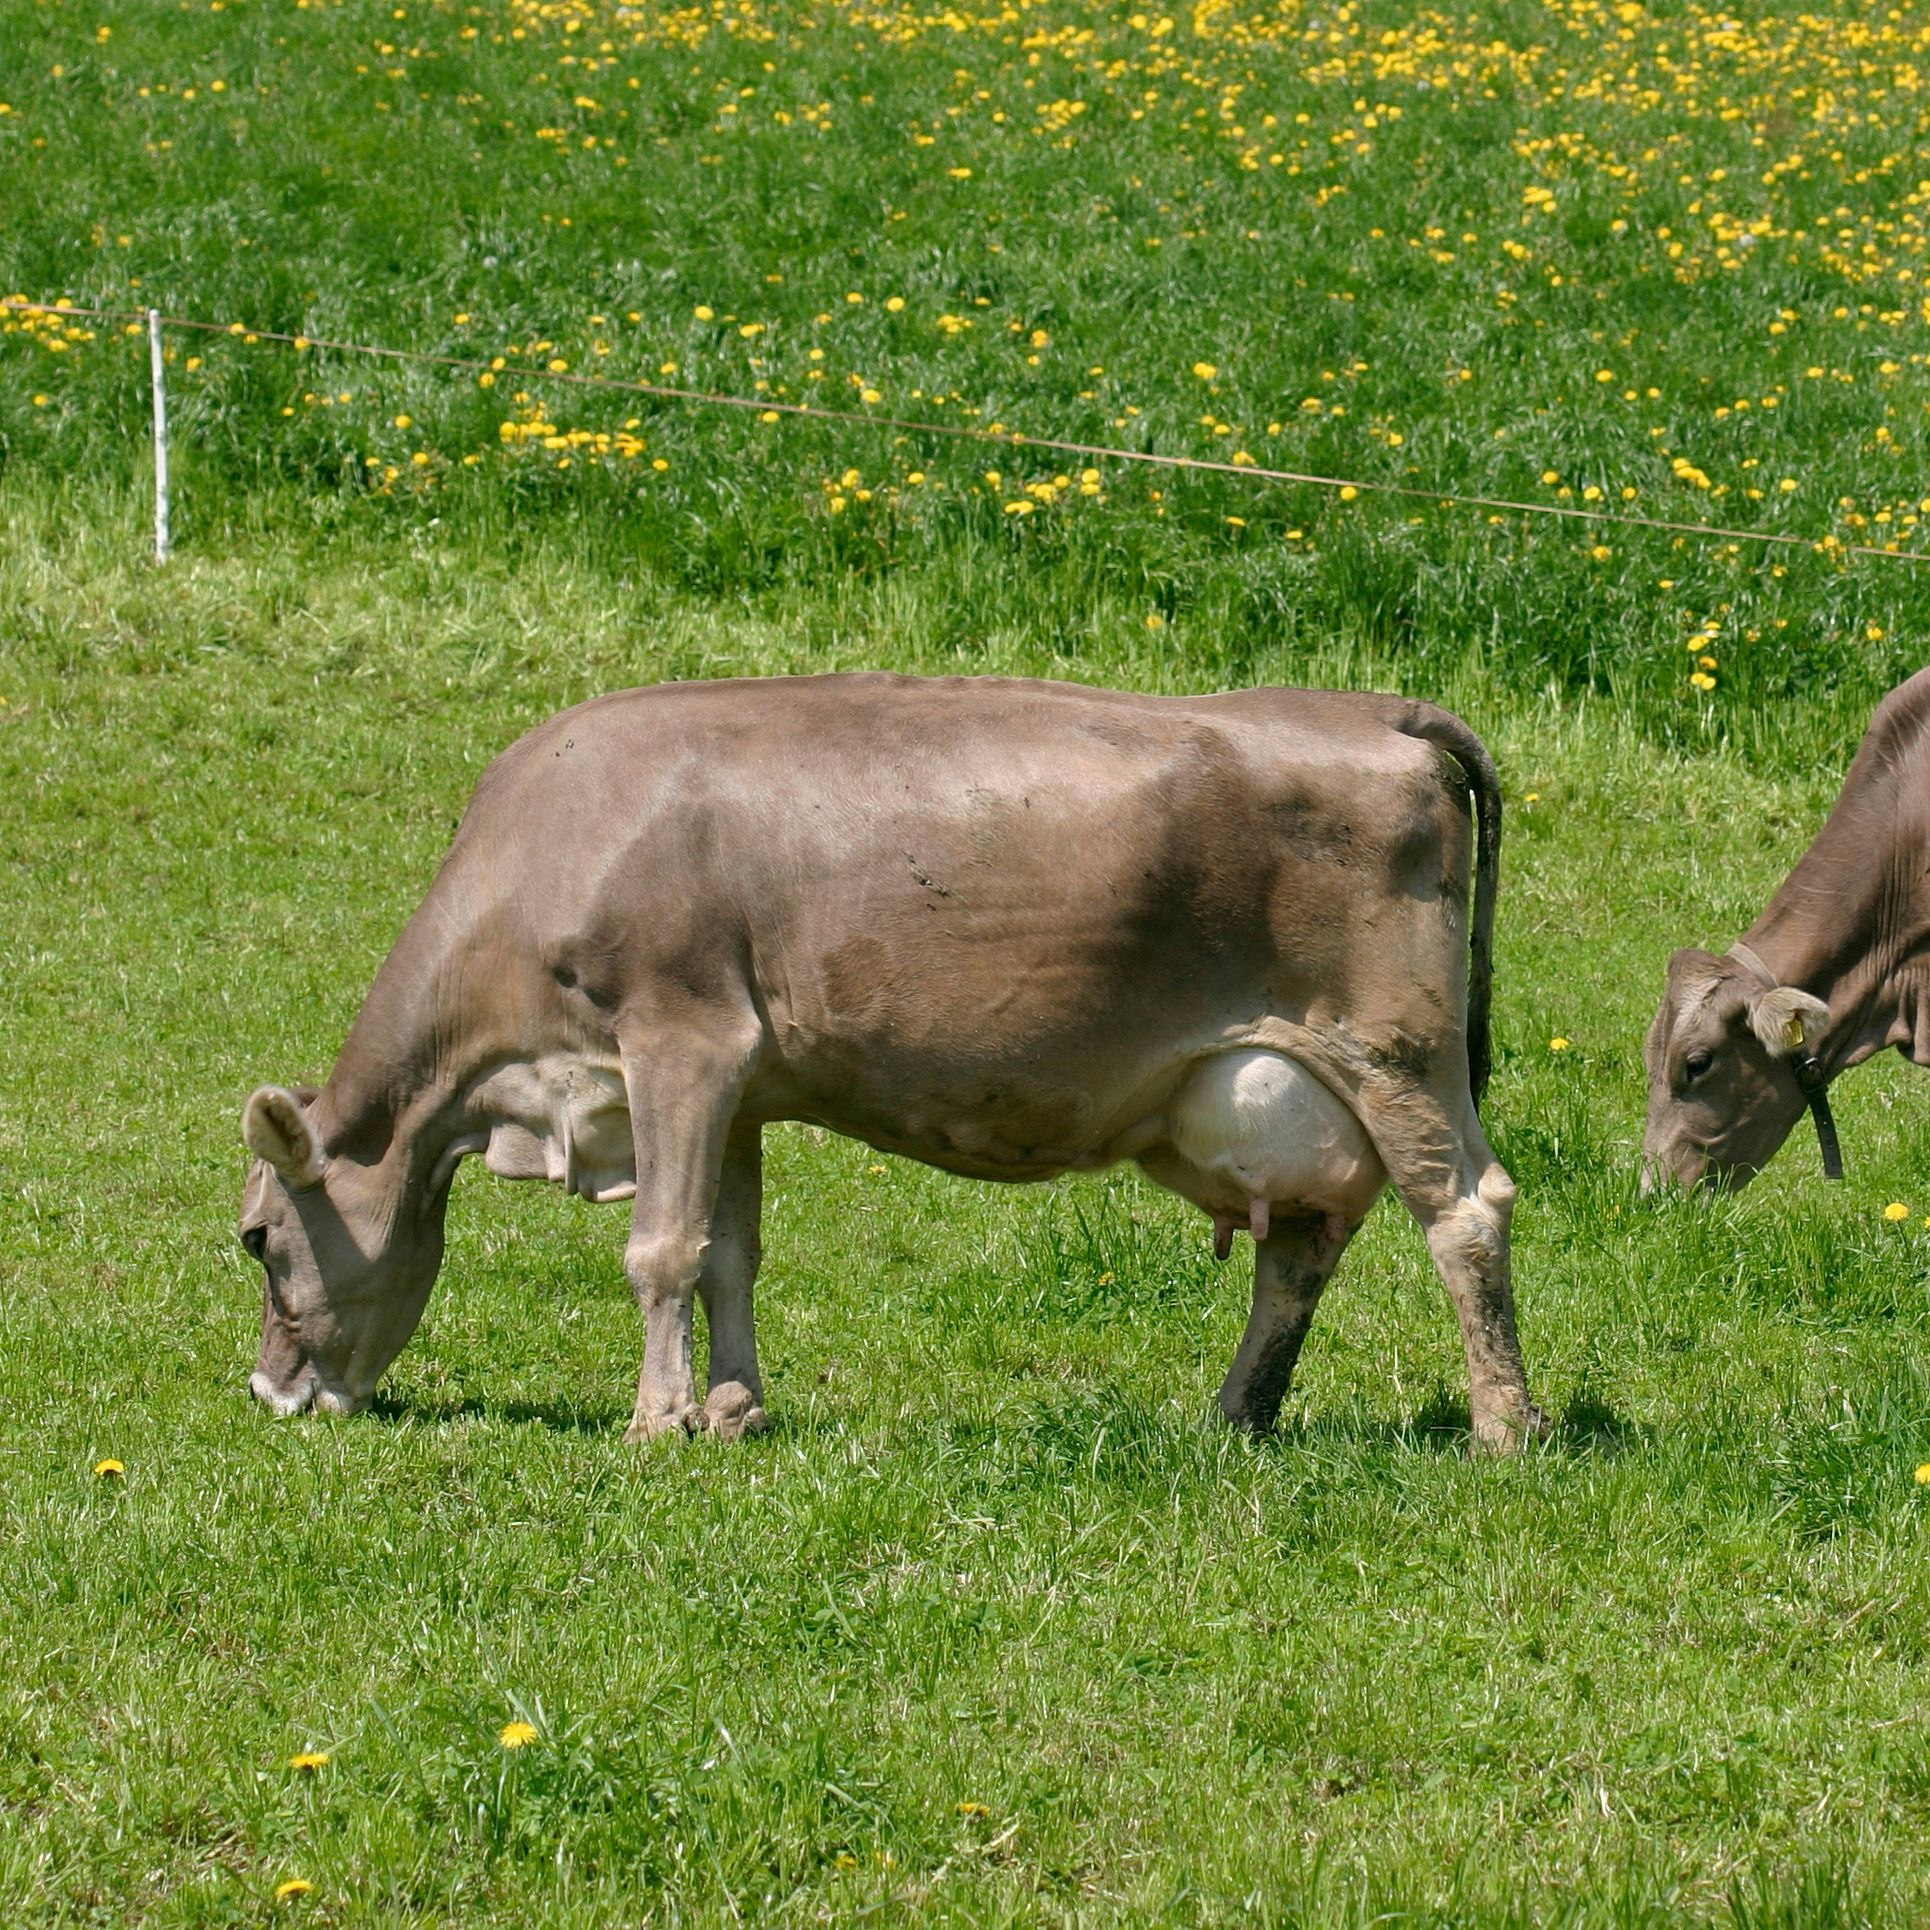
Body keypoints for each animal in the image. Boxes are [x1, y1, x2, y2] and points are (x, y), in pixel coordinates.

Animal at [237, 674, 1541, 1450]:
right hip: (1292, 1089)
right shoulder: (742, 1083)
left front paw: (656, 1423)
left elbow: (659, 1249)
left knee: (1465, 1210)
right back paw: (1234, 1412)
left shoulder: (679, 1038)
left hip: (1398, 1049)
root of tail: (1370, 708)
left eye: (255, 1238)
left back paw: (1504, 1424)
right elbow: (728, 1252)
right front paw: (734, 1408)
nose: (268, 1391)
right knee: (1303, 1246)